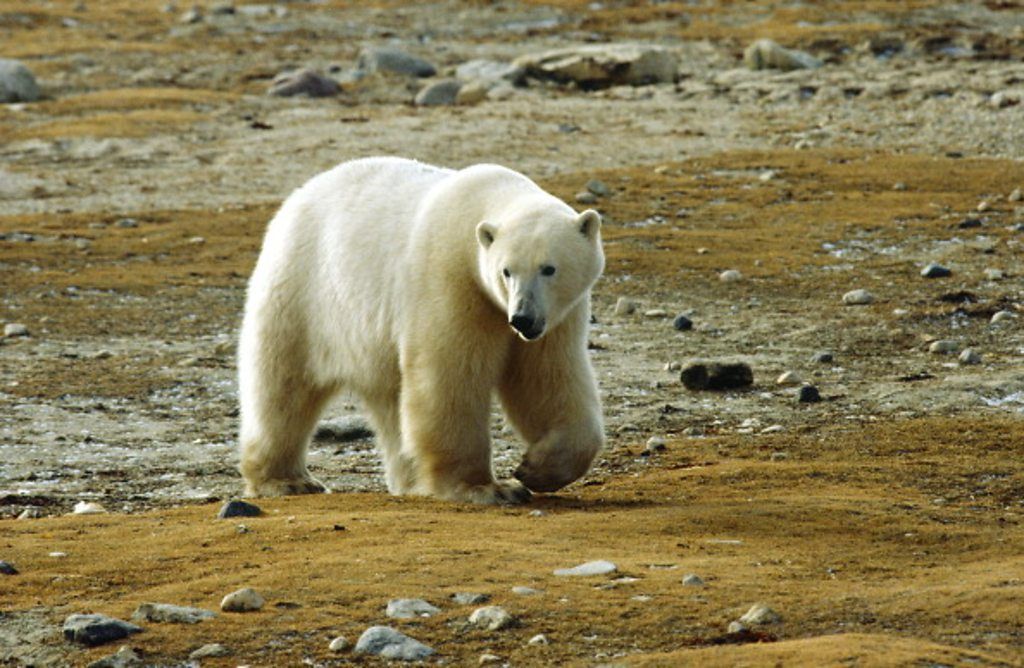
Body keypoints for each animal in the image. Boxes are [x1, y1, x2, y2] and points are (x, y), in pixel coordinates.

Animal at [237, 155, 606, 499]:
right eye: (506, 271)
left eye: (549, 268)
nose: (522, 317)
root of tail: (296, 198)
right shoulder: (450, 280)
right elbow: (449, 376)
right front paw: (488, 488)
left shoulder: (556, 319)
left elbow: (546, 379)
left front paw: (536, 470)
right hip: (303, 293)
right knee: (283, 385)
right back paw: (288, 480)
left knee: (389, 401)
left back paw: (411, 482)